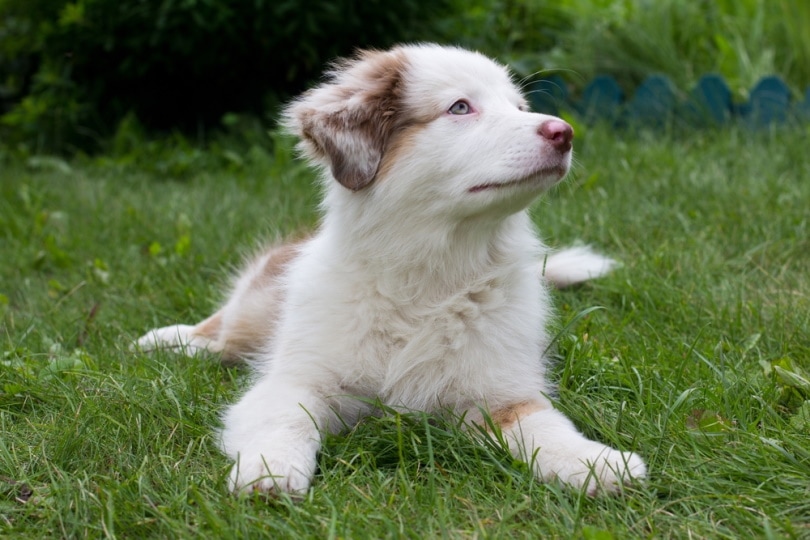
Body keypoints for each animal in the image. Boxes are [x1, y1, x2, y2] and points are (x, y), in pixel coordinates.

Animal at [137, 44, 644, 496]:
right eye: (460, 107)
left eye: (519, 107)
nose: (564, 133)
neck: (427, 278)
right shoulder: (295, 378)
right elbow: (286, 418)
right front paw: (270, 470)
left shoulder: (499, 392)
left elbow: (544, 427)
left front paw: (597, 463)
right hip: (256, 309)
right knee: (220, 332)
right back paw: (162, 340)